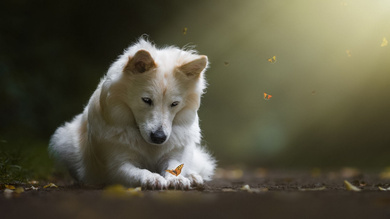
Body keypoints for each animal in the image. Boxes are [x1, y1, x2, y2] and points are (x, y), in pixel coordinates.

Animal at [48, 37, 216, 188]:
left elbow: (174, 167)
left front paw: (178, 179)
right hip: (64, 141)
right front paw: (152, 178)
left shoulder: (173, 154)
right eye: (146, 100)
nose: (159, 138)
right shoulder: (117, 166)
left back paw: (193, 176)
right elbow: (139, 172)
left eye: (174, 104)